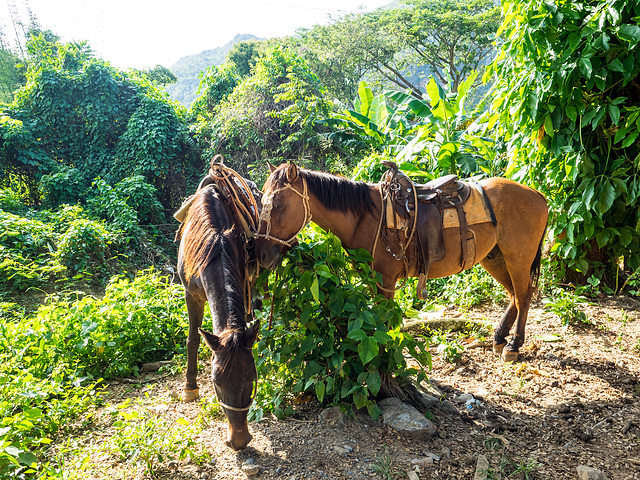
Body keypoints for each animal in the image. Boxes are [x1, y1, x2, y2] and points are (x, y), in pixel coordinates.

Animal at [175, 173, 260, 450]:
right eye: (216, 382)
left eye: (252, 378)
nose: (240, 440)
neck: (215, 246)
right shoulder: (191, 295)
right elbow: (192, 339)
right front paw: (190, 387)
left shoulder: (243, 281)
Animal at [256, 163, 552, 362]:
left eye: (278, 204)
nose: (261, 255)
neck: (365, 218)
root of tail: (537, 195)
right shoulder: (374, 281)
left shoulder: (385, 281)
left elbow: (384, 323)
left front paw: (385, 357)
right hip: (495, 257)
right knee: (515, 295)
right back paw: (500, 337)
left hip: (517, 257)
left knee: (524, 295)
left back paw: (514, 345)